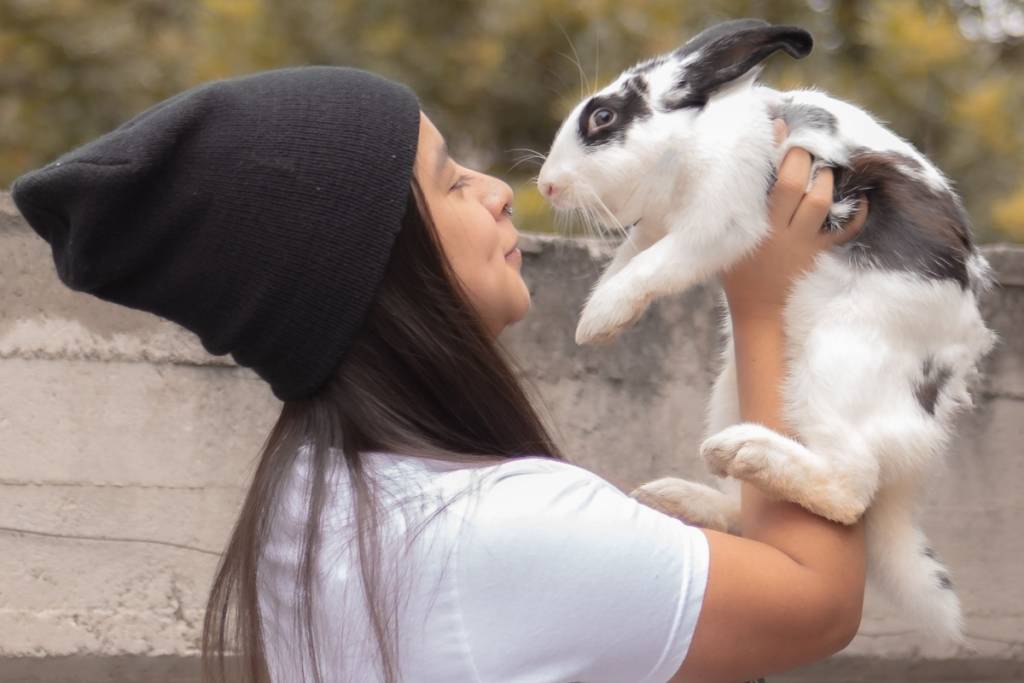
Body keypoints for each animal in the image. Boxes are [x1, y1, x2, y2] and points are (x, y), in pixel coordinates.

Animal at [536, 18, 998, 643]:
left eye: (603, 117)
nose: (546, 185)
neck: (695, 137)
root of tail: (916, 443)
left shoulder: (719, 223)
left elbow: (656, 264)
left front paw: (599, 319)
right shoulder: (658, 227)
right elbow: (629, 258)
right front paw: (596, 321)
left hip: (833, 365)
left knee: (850, 486)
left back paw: (747, 453)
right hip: (734, 387)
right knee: (751, 512)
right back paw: (680, 495)